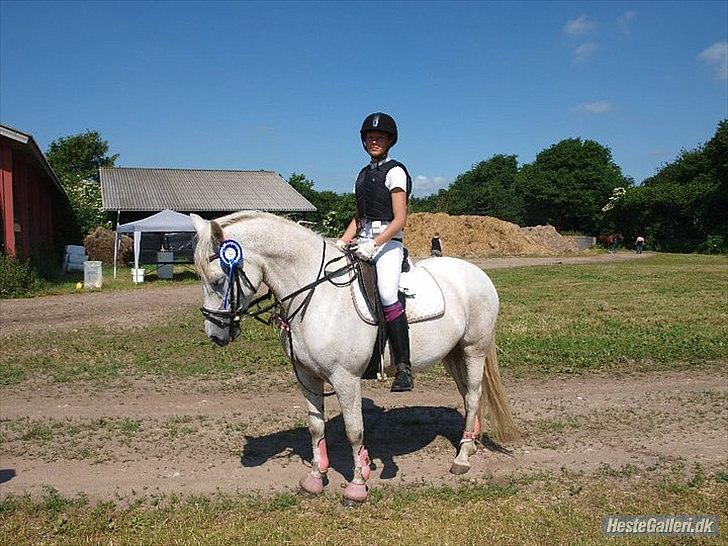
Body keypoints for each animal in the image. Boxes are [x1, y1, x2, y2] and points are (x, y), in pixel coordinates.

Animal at [191, 209, 520, 502]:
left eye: (218, 280)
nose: (215, 334)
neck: (316, 295)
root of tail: (477, 273)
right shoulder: (307, 376)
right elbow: (316, 427)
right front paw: (315, 478)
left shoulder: (345, 378)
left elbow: (354, 431)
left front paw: (357, 486)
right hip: (453, 354)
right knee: (467, 396)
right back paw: (472, 442)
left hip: (474, 349)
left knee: (474, 395)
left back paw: (462, 457)